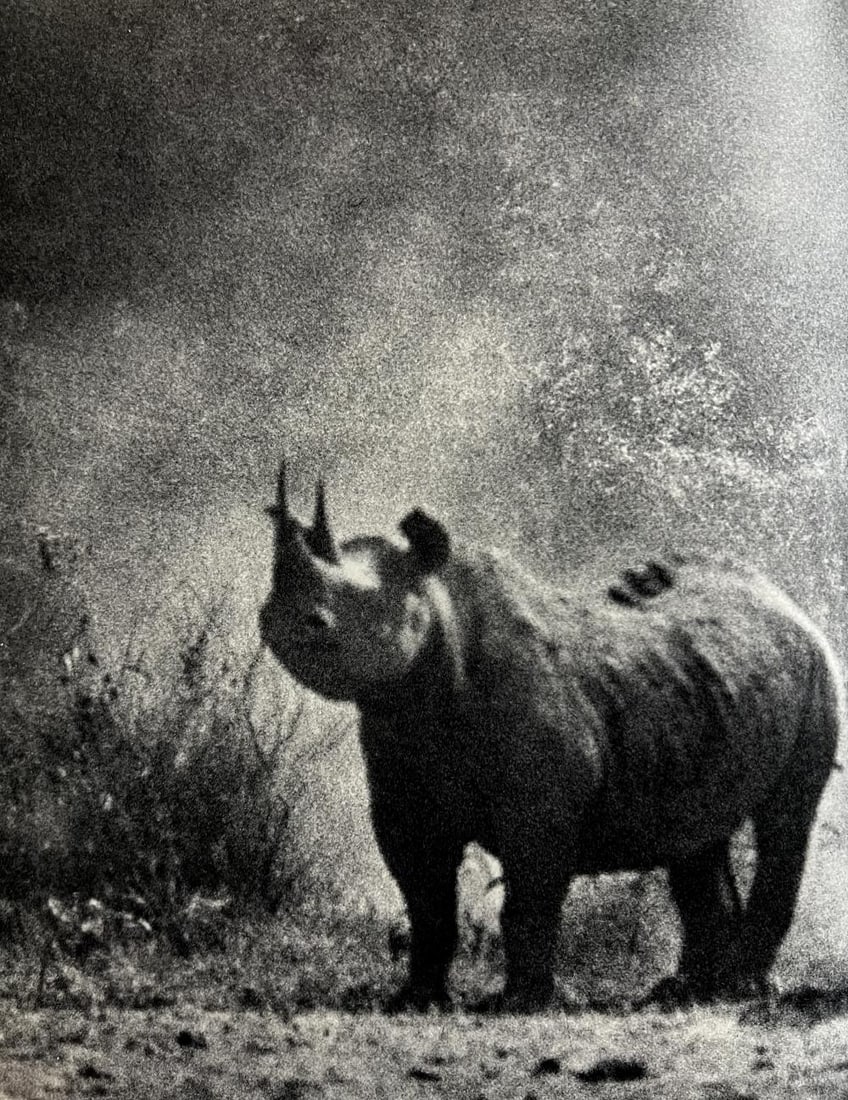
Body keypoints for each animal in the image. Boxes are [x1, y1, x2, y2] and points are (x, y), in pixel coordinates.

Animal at [259, 463, 843, 1012]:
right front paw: (415, 1000)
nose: (279, 620)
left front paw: (520, 1003)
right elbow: (427, 902)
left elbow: (529, 899)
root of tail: (786, 601)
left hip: (818, 672)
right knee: (696, 836)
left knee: (786, 818)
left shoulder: (541, 804)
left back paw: (742, 990)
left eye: (352, 608)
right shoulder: (404, 792)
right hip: (704, 688)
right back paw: (688, 993)